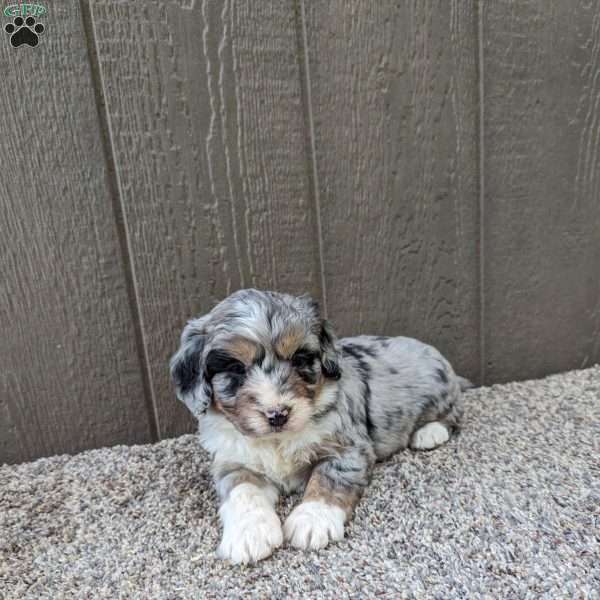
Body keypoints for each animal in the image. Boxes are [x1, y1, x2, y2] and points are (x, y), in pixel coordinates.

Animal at [169, 288, 468, 564]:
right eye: (236, 368)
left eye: (299, 359)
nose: (278, 414)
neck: (277, 441)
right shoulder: (232, 461)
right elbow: (243, 491)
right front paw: (249, 535)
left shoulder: (349, 449)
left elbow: (328, 479)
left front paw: (312, 520)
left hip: (440, 391)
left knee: (454, 413)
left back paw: (429, 433)